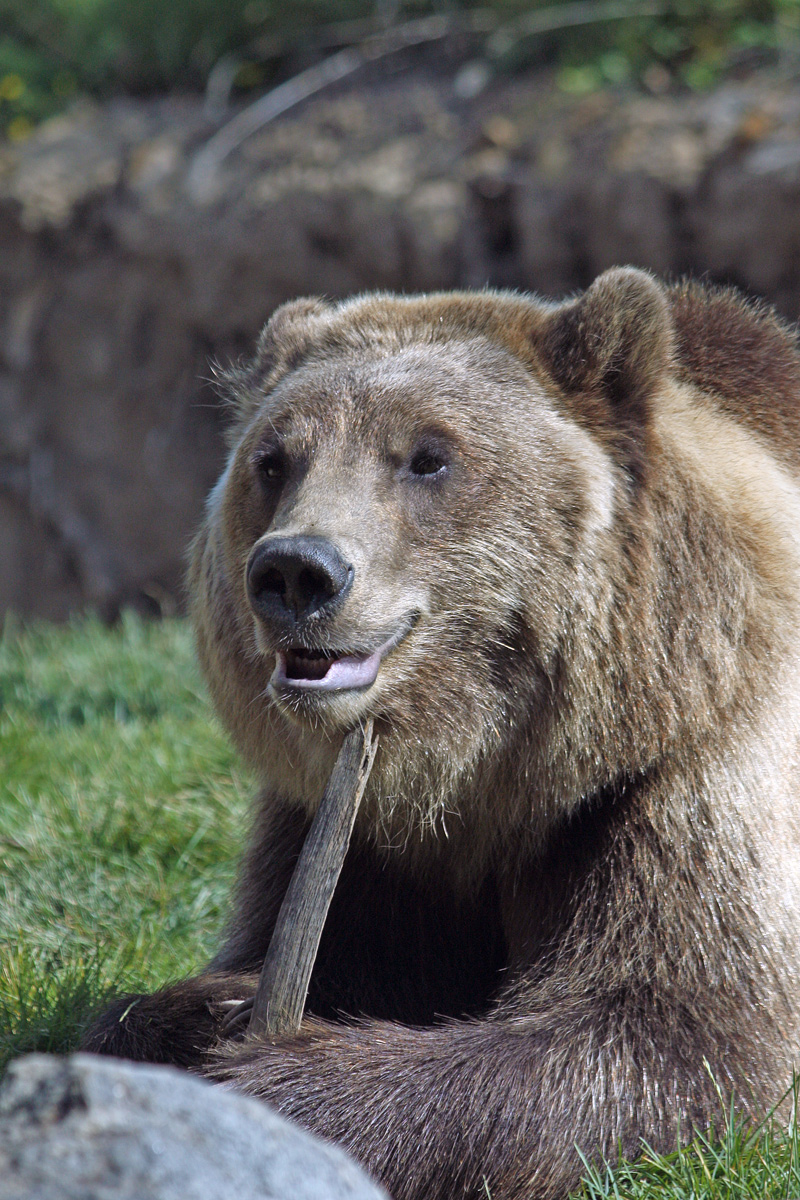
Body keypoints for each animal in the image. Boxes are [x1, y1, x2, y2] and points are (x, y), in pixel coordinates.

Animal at [83, 268, 800, 1200]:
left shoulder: (679, 771)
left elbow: (678, 1035)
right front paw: (196, 1018)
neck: (477, 773)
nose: (297, 571)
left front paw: (281, 1080)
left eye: (429, 456)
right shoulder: (355, 838)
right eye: (274, 460)